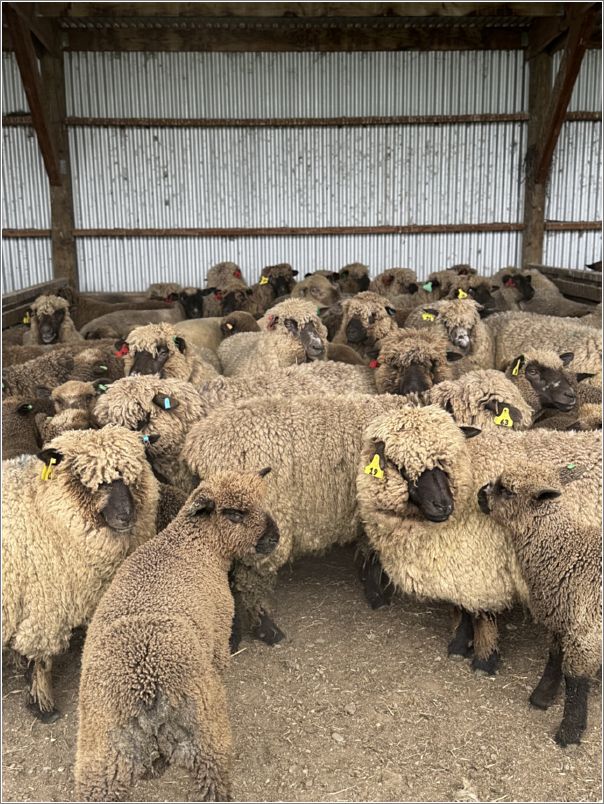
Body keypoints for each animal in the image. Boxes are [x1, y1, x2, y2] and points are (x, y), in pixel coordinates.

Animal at [2, 428, 158, 724]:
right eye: (94, 481)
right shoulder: (45, 608)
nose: (126, 516)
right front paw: (43, 706)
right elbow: (40, 660)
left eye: (131, 476)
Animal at [73, 468, 278, 800]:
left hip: (102, 755)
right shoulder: (219, 635)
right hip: (204, 735)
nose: (275, 537)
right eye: (234, 514)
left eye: (264, 500)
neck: (192, 545)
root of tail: (146, 690)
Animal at [182, 392, 412, 644]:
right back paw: (267, 630)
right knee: (248, 580)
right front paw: (376, 595)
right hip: (257, 530)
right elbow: (373, 555)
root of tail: (197, 449)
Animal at [354, 408, 600, 672]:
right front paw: (459, 645)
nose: (443, 506)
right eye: (400, 467)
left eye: (445, 462)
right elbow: (461, 608)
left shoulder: (483, 567)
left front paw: (485, 659)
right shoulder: (457, 564)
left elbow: (482, 615)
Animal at [478, 464, 600, 748]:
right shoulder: (559, 619)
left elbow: (575, 679)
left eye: (507, 490)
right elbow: (554, 656)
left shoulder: (585, 632)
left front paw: (570, 731)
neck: (569, 554)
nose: (479, 493)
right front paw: (542, 696)